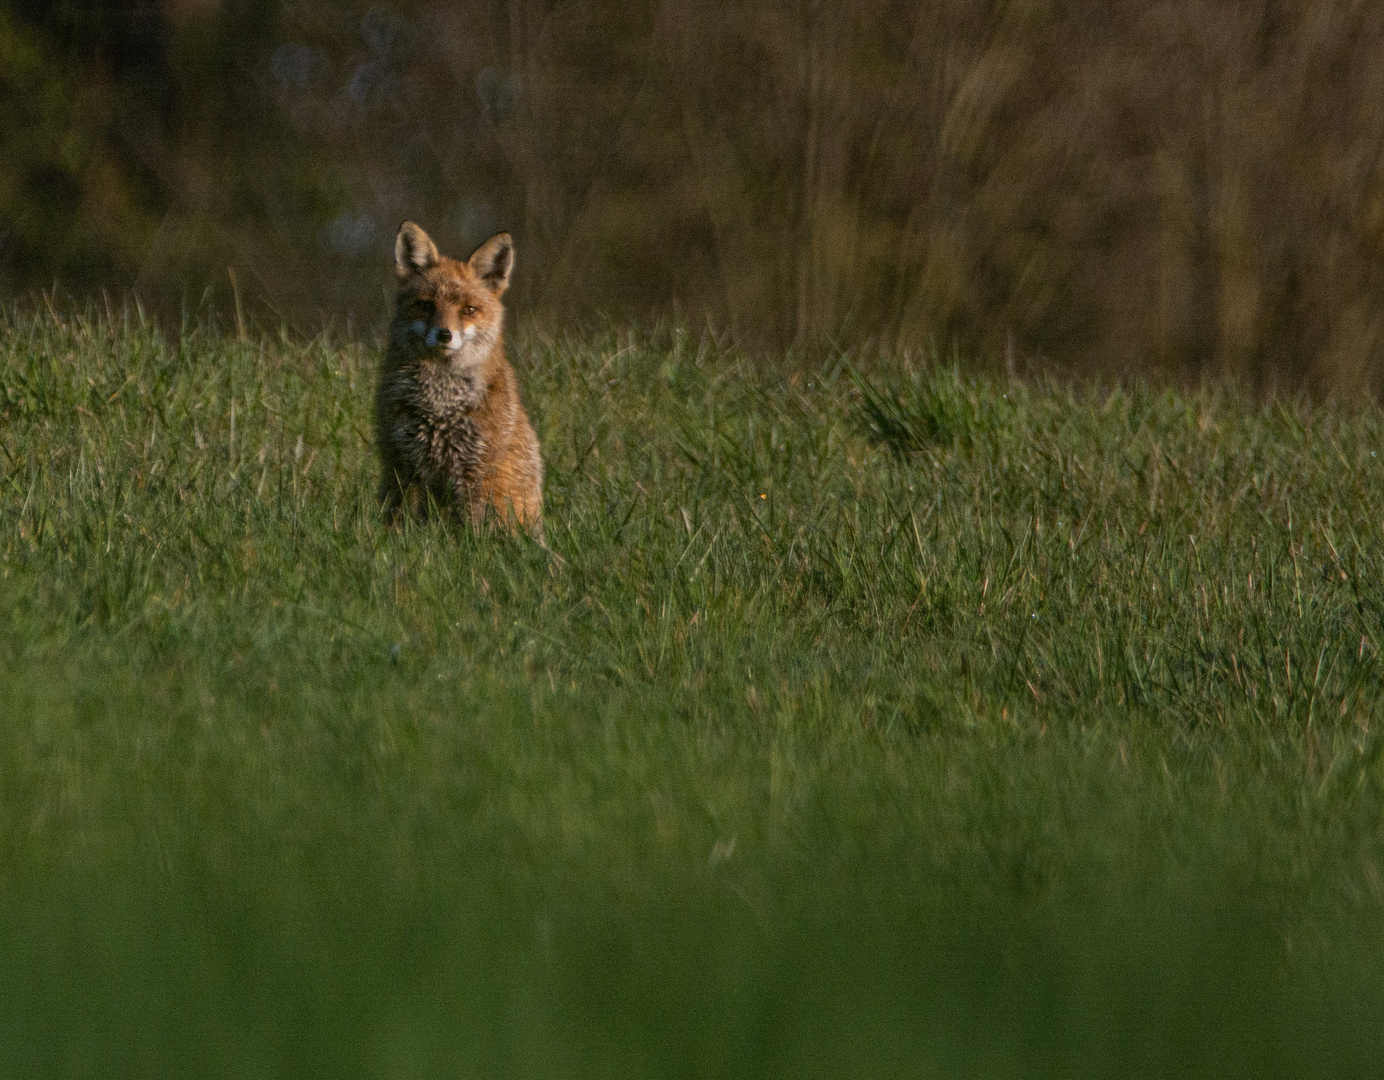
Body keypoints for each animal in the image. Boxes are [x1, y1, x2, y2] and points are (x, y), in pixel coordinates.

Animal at [376, 221, 542, 540]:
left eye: (469, 310)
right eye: (426, 306)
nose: (444, 334)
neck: (439, 404)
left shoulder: (476, 469)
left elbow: (471, 530)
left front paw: (470, 549)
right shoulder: (404, 463)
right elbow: (403, 522)